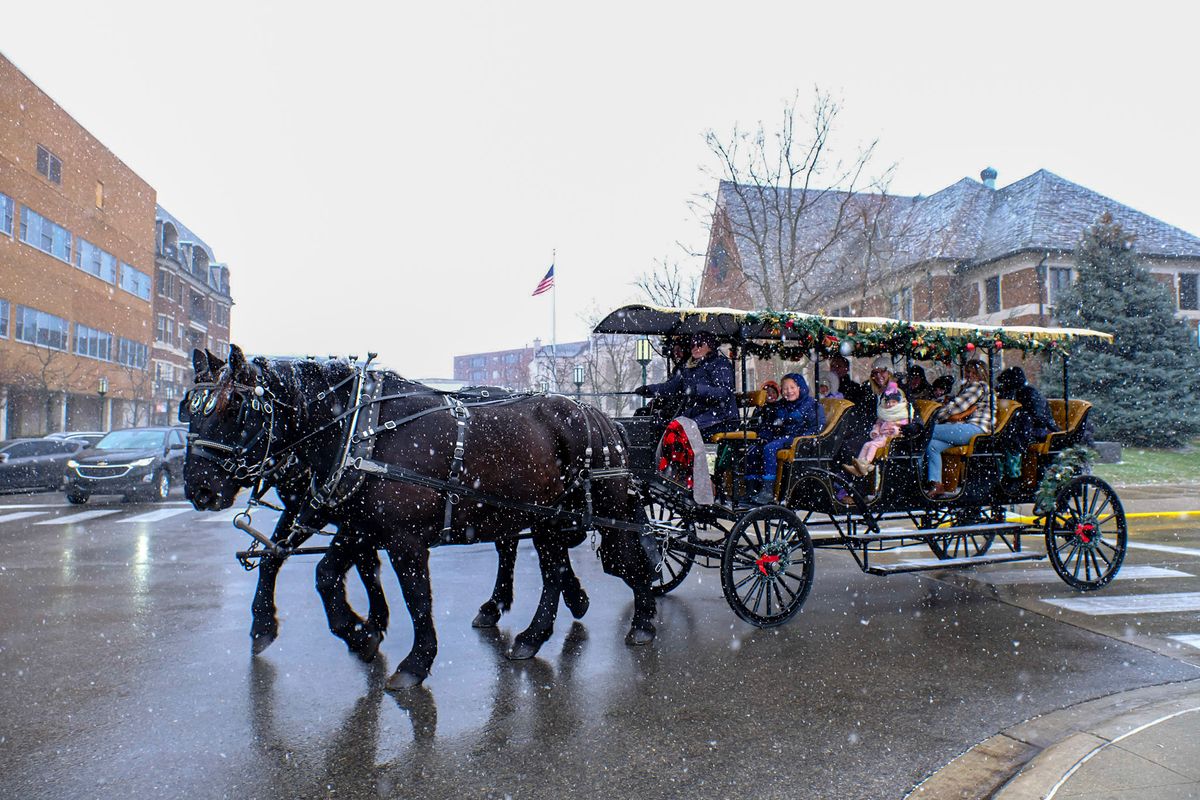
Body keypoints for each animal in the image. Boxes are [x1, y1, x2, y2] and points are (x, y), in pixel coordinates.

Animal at [181, 345, 652, 690]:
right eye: (189, 408)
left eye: (234, 408)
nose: (197, 490)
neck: (358, 431)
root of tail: (600, 417)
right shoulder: (357, 522)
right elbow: (325, 573)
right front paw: (361, 632)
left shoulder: (399, 536)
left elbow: (416, 597)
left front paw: (414, 660)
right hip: (545, 519)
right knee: (551, 569)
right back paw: (534, 633)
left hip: (603, 510)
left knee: (635, 558)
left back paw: (643, 622)